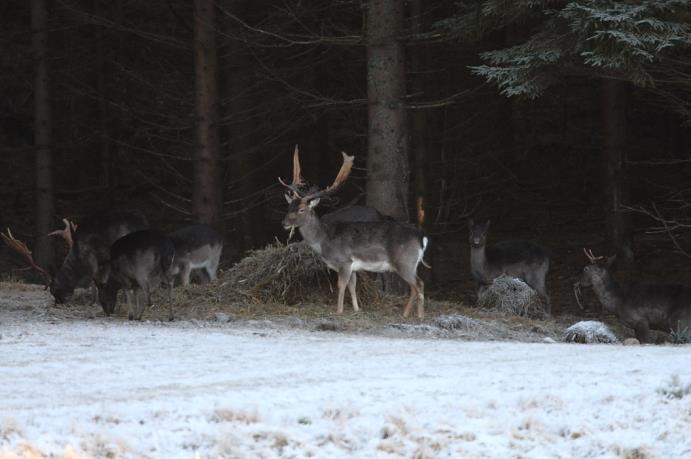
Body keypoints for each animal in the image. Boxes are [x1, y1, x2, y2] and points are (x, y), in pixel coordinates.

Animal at [278, 146, 430, 318]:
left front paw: (338, 311)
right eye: (289, 207)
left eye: (301, 210)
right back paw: (405, 314)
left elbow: (341, 285)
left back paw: (419, 315)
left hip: (405, 261)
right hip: (410, 263)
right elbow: (352, 286)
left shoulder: (344, 260)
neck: (324, 240)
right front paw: (357, 309)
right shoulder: (353, 267)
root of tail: (422, 237)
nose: (284, 223)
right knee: (415, 286)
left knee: (419, 284)